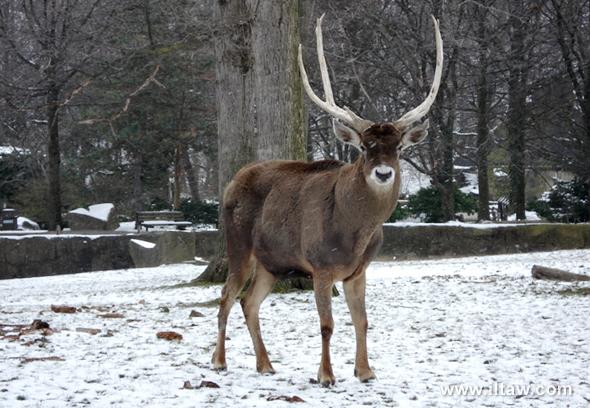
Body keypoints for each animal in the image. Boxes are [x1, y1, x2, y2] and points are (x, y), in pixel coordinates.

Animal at [213, 14, 444, 388]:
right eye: (364, 146)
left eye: (398, 147)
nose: (383, 173)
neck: (353, 232)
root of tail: (232, 182)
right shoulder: (319, 266)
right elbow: (326, 324)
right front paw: (325, 375)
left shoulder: (358, 270)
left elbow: (362, 320)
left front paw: (365, 371)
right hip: (238, 246)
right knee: (225, 297)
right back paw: (219, 361)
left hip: (271, 262)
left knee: (249, 302)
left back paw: (265, 364)